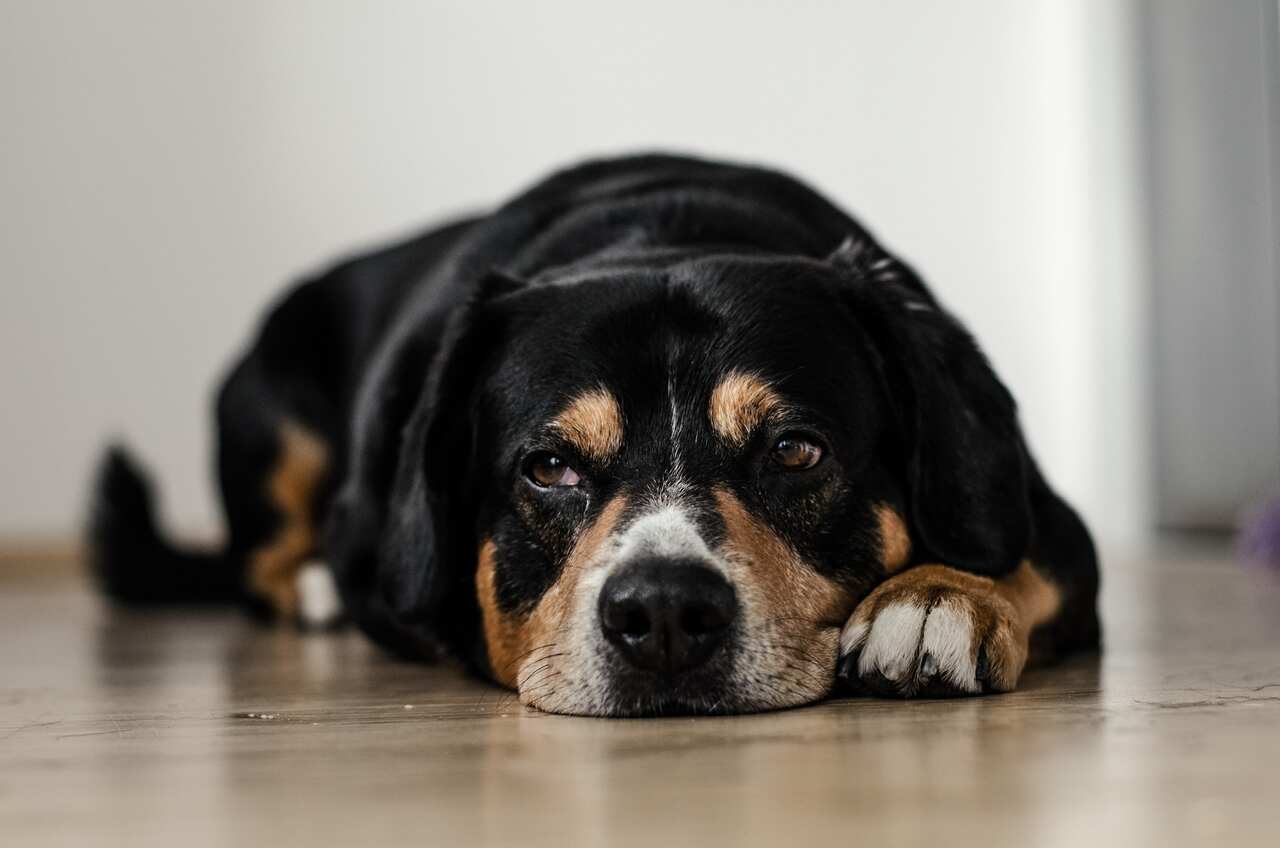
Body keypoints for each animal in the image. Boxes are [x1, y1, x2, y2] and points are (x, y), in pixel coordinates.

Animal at [90, 154, 1100, 717]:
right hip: (270, 418)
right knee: (258, 558)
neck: (663, 234)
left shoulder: (1047, 515)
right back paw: (313, 589)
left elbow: (1023, 556)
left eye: (794, 451)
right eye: (549, 468)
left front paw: (934, 598)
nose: (664, 614)